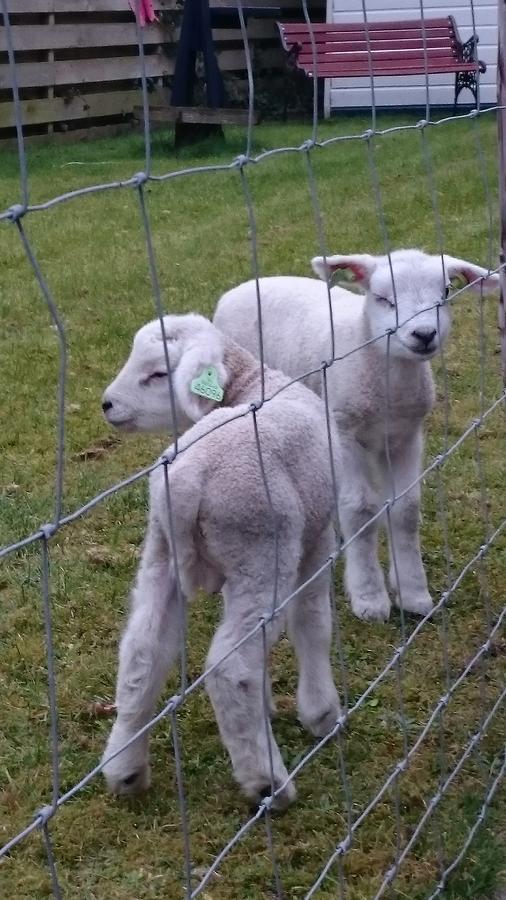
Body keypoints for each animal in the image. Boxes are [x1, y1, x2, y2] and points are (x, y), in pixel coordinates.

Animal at [213, 250, 498, 624]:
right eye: (382, 298)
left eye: (446, 291)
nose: (423, 334)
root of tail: (243, 286)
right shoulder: (346, 432)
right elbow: (361, 509)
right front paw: (370, 599)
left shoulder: (406, 435)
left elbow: (406, 508)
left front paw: (414, 594)